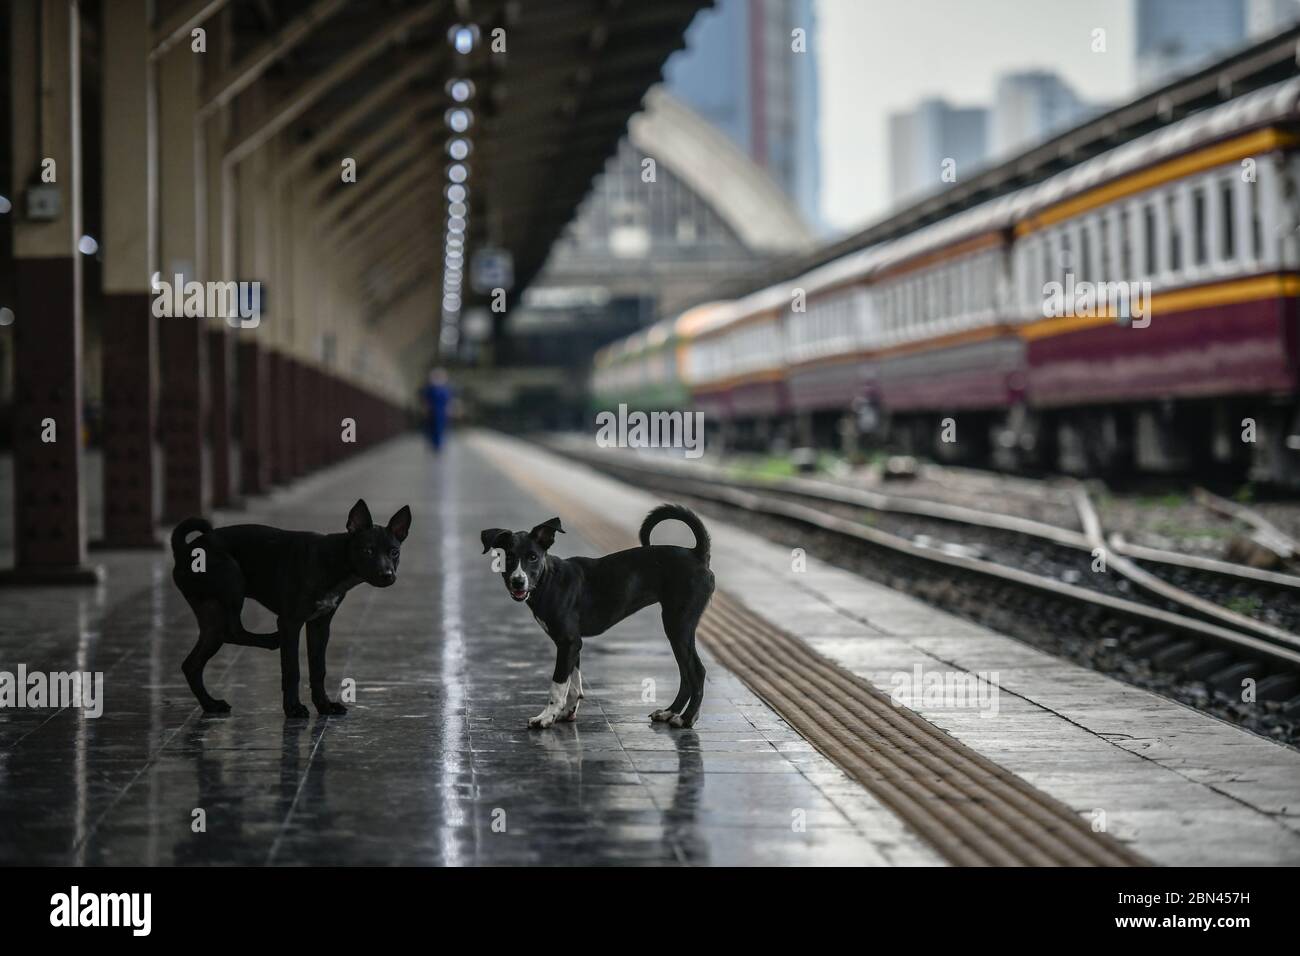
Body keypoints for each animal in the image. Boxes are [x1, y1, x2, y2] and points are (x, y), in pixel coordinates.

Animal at [170, 502, 408, 717]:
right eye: (367, 551)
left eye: (394, 552)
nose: (387, 575)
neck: (332, 560)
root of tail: (184, 549)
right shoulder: (291, 623)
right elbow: (292, 670)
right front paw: (293, 708)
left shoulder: (319, 625)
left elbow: (318, 669)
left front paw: (324, 705)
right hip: (232, 579)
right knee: (232, 631)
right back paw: (271, 639)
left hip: (210, 615)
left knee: (193, 664)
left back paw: (210, 704)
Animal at [483, 504, 717, 728]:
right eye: (508, 557)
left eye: (533, 557)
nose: (517, 582)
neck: (548, 580)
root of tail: (697, 554)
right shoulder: (573, 644)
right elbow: (573, 683)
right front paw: (567, 712)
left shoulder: (568, 642)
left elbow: (558, 685)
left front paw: (546, 717)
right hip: (677, 628)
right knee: (686, 674)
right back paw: (670, 712)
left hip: (678, 624)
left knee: (697, 672)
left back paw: (686, 719)